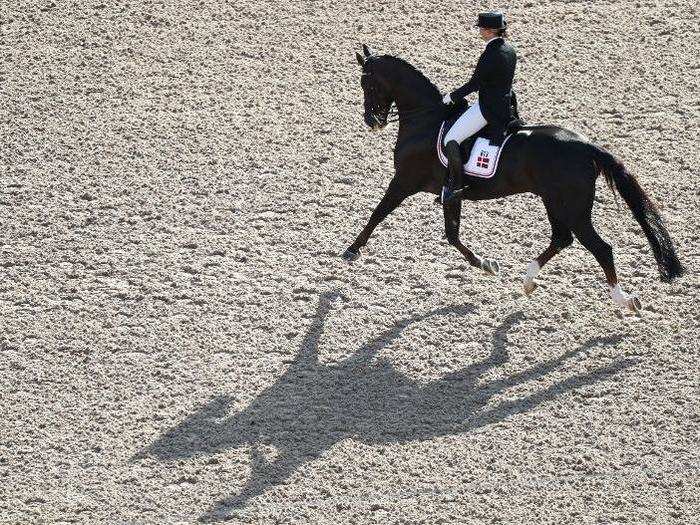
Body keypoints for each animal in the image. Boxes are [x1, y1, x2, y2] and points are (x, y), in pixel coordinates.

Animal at [344, 44, 684, 312]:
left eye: (367, 84)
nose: (372, 121)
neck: (425, 118)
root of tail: (587, 145)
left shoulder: (404, 181)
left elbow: (378, 213)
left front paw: (351, 250)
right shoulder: (449, 191)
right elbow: (452, 235)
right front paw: (486, 264)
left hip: (572, 207)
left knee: (600, 248)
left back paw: (623, 300)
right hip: (555, 202)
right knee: (562, 238)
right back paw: (528, 281)